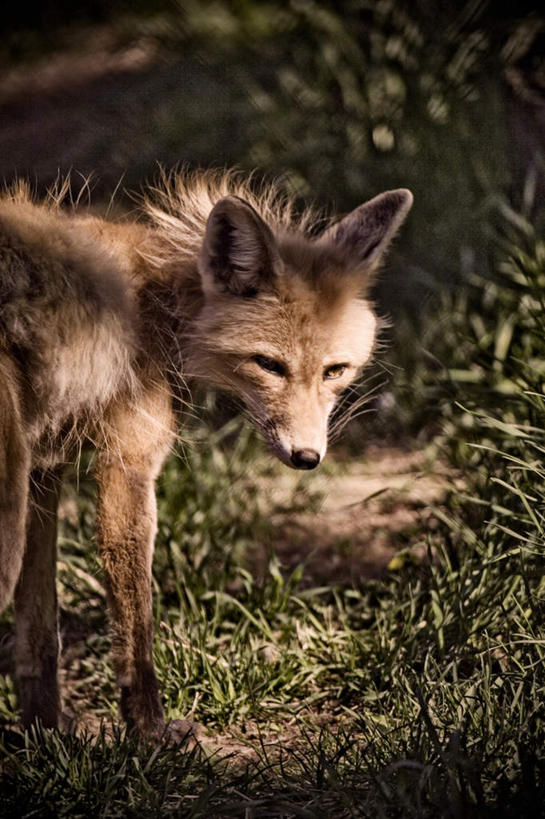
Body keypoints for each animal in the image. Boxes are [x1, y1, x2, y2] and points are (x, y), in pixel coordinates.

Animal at [0, 170, 410, 740]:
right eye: (269, 365)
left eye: (335, 370)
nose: (307, 457)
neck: (162, 309)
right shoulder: (127, 466)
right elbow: (136, 631)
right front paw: (148, 733)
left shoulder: (44, 472)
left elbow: (39, 632)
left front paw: (45, 732)